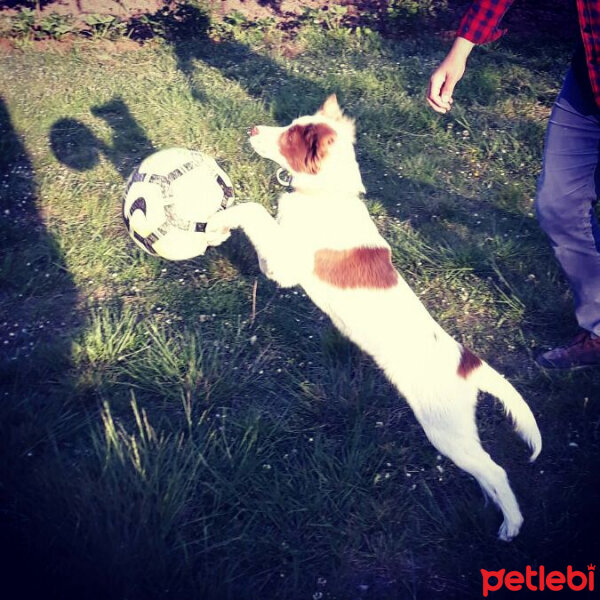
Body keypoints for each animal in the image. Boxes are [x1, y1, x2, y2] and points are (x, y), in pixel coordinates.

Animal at [205, 96, 540, 540]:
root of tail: (467, 363)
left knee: (497, 471)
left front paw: (215, 221)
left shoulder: (288, 265)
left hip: (445, 431)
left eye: (290, 136)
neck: (325, 194)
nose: (253, 130)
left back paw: (512, 526)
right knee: (485, 472)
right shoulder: (278, 263)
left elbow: (254, 210)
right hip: (458, 434)